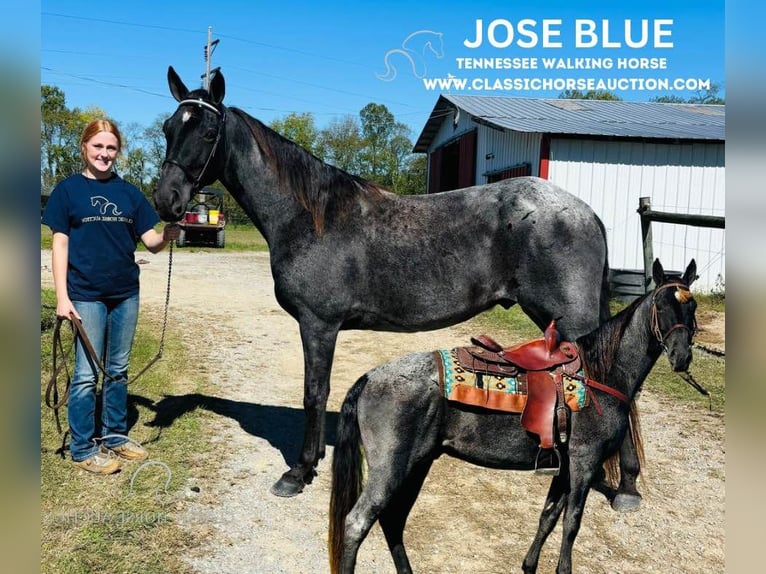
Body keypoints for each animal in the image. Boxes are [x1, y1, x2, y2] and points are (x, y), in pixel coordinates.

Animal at [156, 65, 640, 502]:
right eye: (167, 128)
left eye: (207, 131)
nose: (167, 200)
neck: (310, 217)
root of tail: (584, 210)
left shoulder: (318, 324)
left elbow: (315, 393)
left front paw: (300, 471)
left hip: (571, 321)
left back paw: (623, 485)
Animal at [330, 262, 704, 574]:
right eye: (661, 305)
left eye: (692, 307)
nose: (681, 356)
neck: (601, 375)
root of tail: (370, 377)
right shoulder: (584, 463)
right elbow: (571, 523)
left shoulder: (566, 468)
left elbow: (548, 517)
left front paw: (529, 565)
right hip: (391, 469)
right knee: (357, 524)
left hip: (417, 464)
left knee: (393, 521)